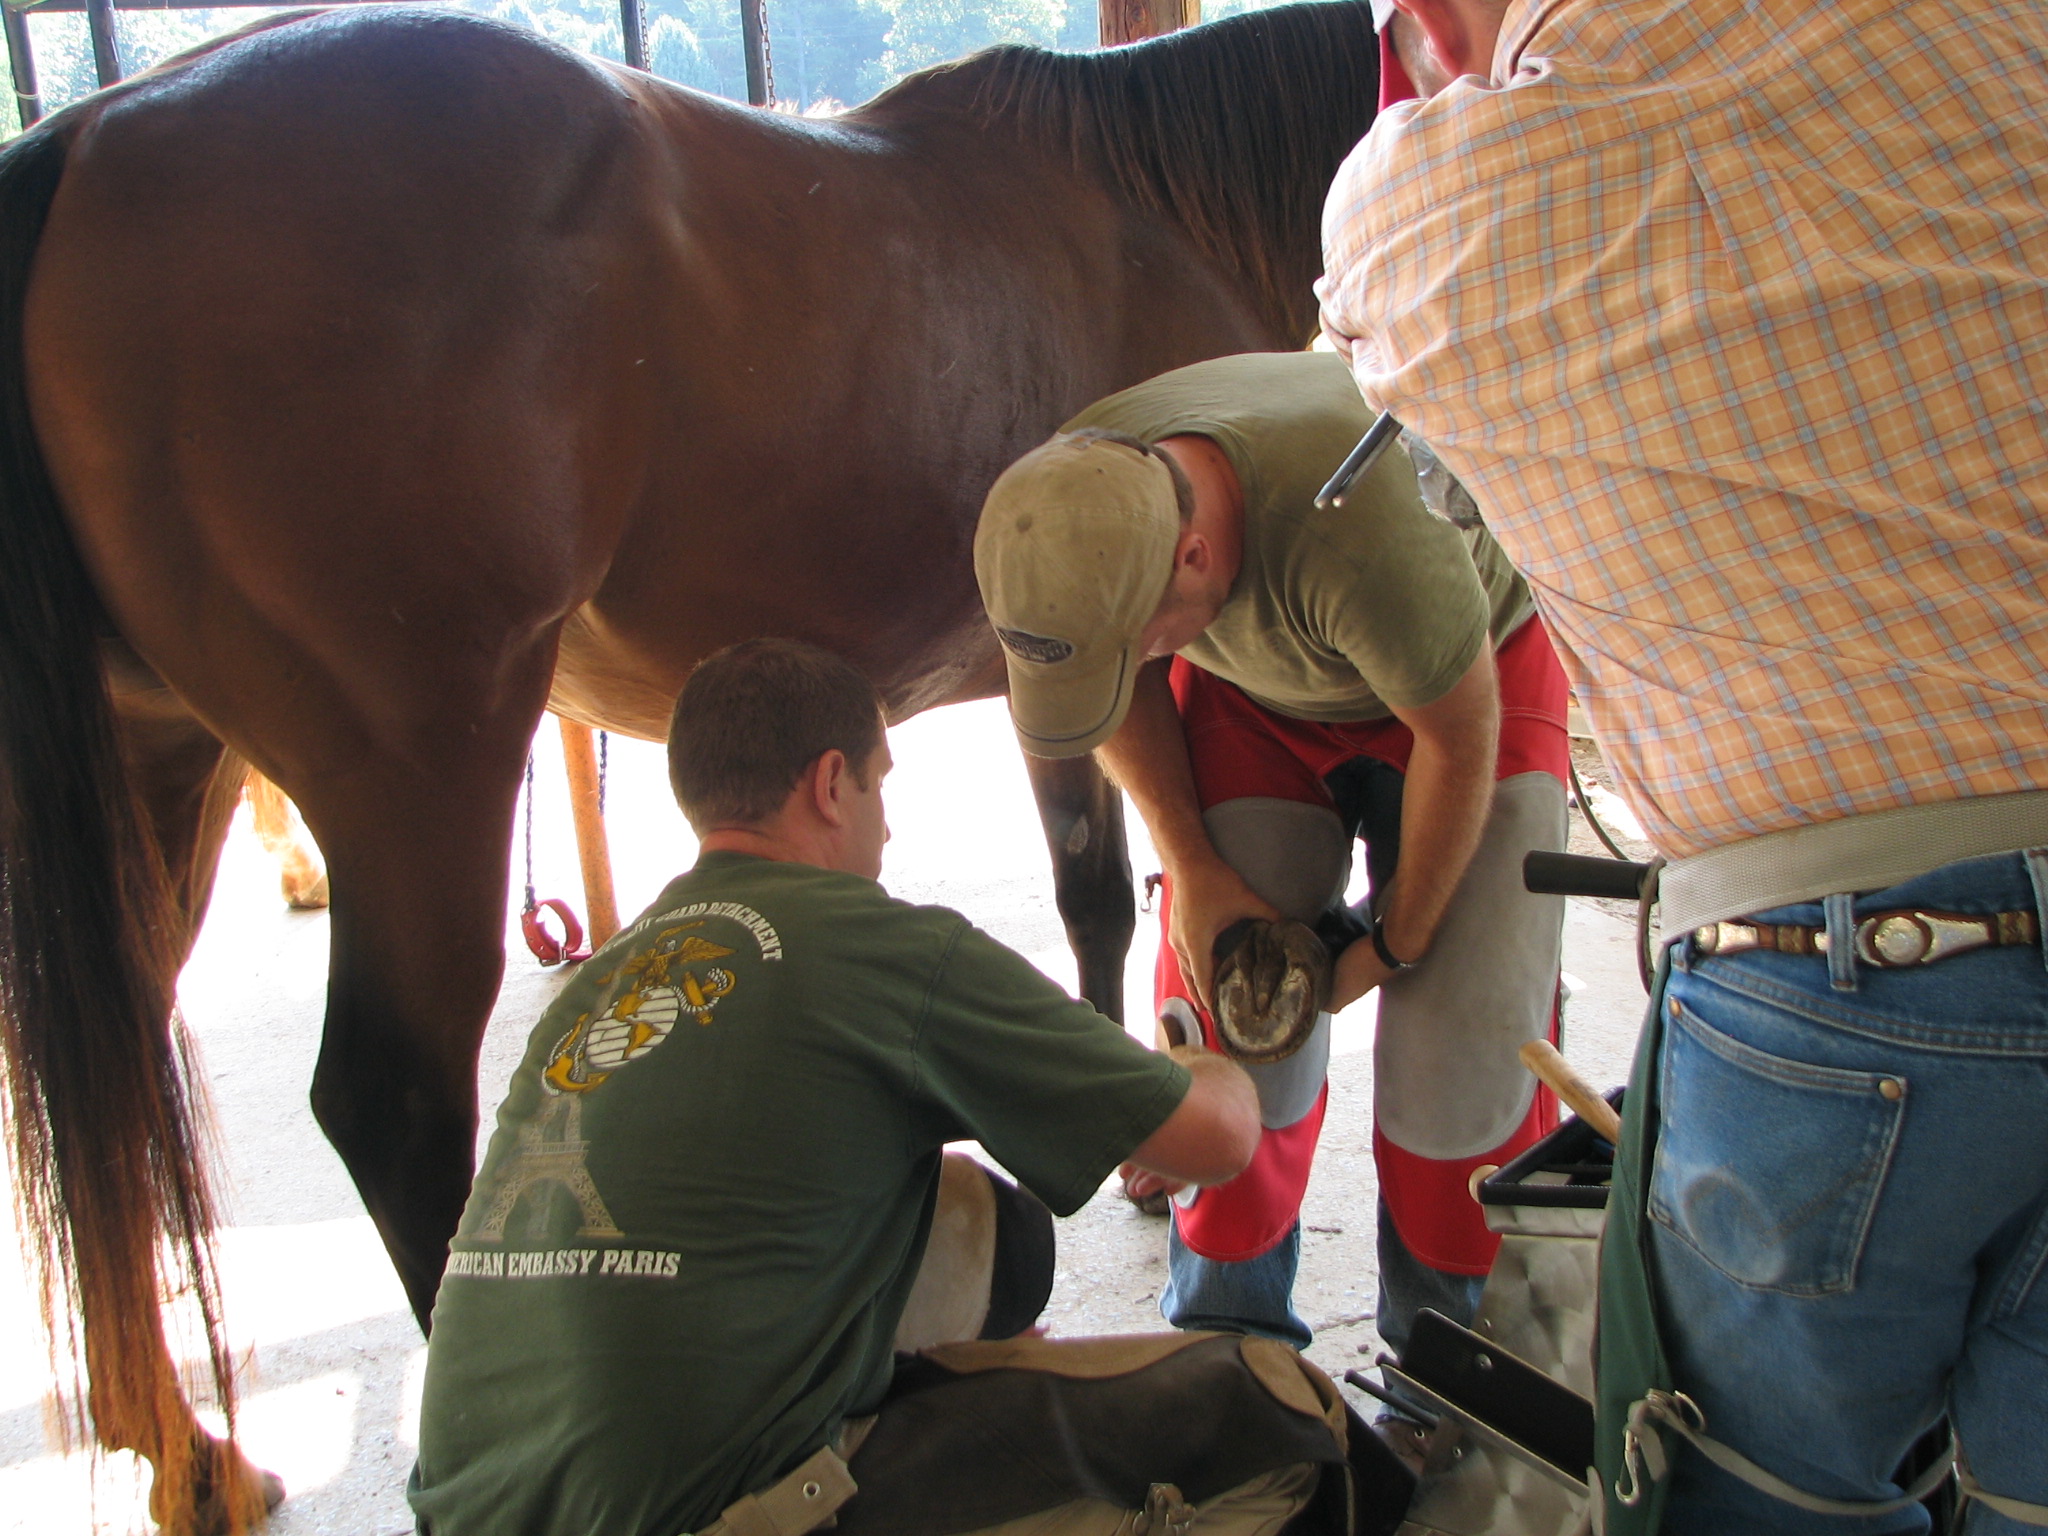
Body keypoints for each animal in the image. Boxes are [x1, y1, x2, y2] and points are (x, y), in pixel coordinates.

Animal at [4, 6, 1376, 1531]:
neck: (1153, 205)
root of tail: (94, 137)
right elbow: (1152, 893)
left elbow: (1093, 898)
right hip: (420, 768)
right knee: (391, 1100)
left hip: (159, 776)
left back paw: (188, 1452)